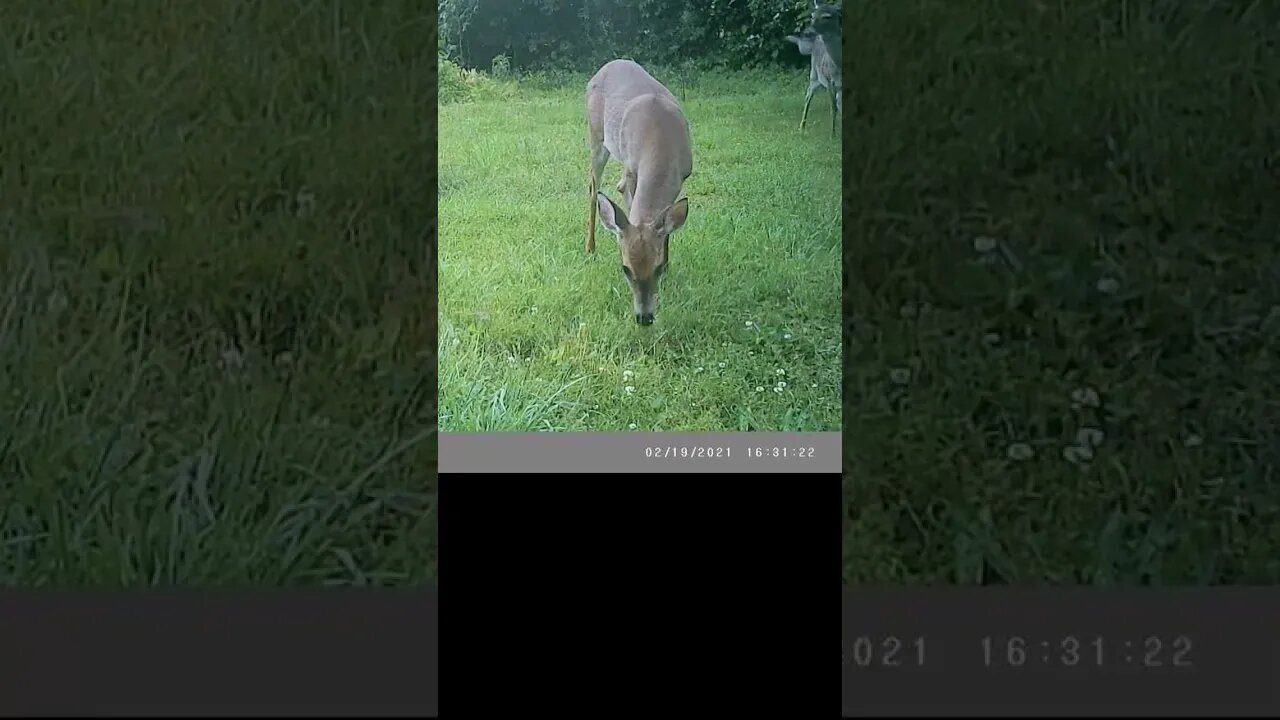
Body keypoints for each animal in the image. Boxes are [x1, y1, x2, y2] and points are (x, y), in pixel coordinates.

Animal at [586, 58, 696, 325]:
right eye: (625, 268)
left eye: (656, 269)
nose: (644, 317)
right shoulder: (631, 170)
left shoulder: (681, 178)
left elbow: (666, 225)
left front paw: (668, 262)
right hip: (596, 136)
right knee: (593, 186)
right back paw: (590, 247)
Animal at [783, 1, 844, 137]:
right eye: (812, 16)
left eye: (827, 16)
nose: (807, 32)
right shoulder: (829, 80)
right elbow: (833, 108)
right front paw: (832, 135)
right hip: (814, 75)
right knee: (808, 95)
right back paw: (802, 127)